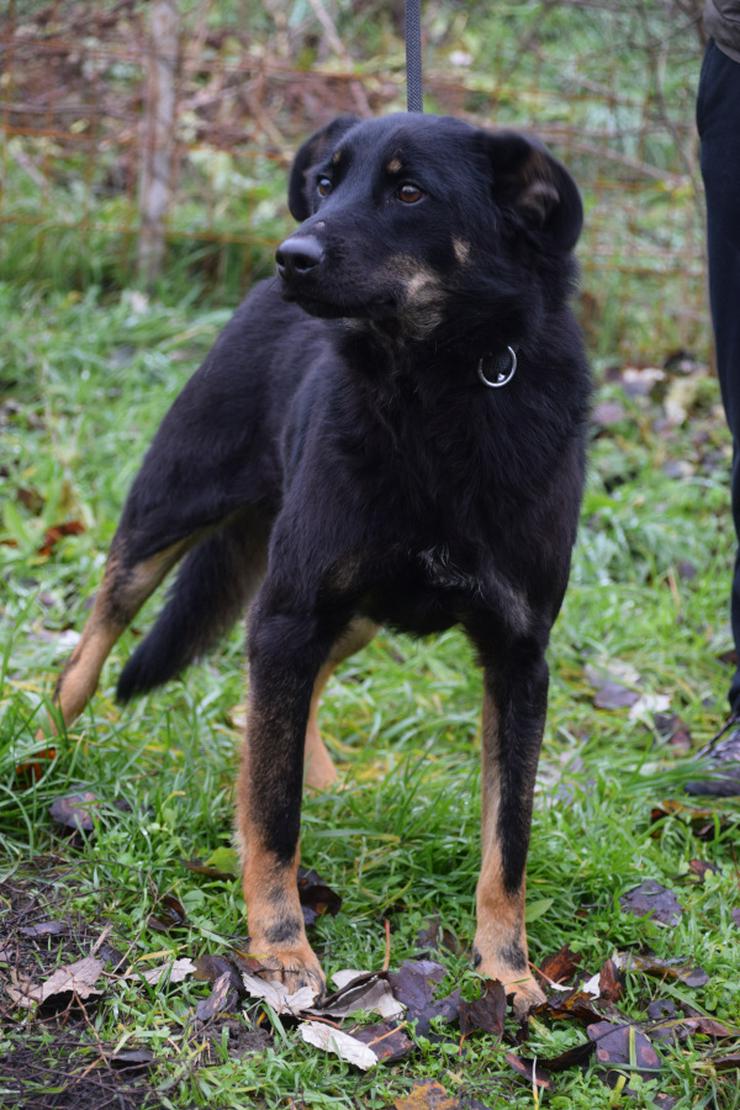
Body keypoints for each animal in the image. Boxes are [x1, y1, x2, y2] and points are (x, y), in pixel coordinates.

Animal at [52, 112, 590, 1016]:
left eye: (409, 192)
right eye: (328, 181)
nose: (290, 254)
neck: (438, 389)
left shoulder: (519, 657)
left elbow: (508, 840)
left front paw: (506, 969)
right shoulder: (291, 611)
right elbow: (275, 816)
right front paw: (279, 948)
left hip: (349, 613)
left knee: (282, 695)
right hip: (177, 505)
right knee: (103, 622)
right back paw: (46, 738)